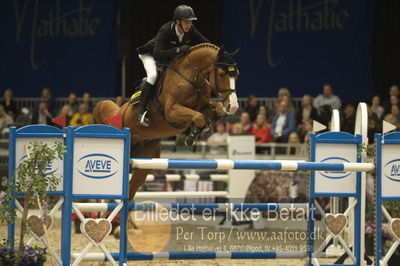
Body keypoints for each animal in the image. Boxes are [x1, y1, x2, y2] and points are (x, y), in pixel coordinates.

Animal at [92, 43, 239, 201]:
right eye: (222, 74)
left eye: (237, 74)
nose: (233, 106)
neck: (192, 78)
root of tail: (118, 112)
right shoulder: (171, 111)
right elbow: (199, 117)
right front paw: (189, 137)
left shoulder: (205, 105)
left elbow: (215, 110)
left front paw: (190, 134)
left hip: (144, 160)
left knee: (131, 189)